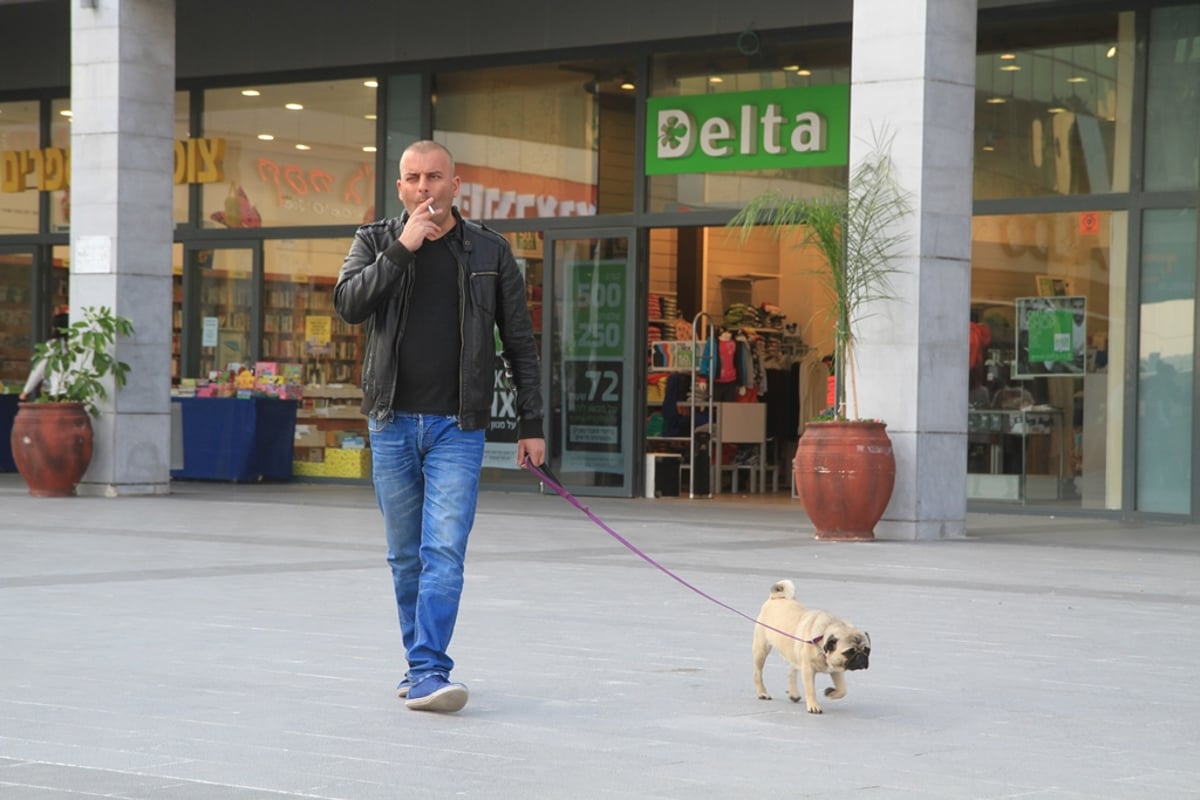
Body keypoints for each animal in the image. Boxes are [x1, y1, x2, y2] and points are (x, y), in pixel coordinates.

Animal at [753, 578, 868, 714]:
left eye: (867, 650)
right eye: (850, 652)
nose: (861, 657)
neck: (822, 638)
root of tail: (775, 597)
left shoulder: (836, 669)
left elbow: (842, 690)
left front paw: (830, 693)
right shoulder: (808, 670)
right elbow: (810, 690)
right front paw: (813, 706)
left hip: (794, 655)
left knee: (792, 672)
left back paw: (794, 694)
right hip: (761, 650)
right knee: (758, 673)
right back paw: (762, 693)